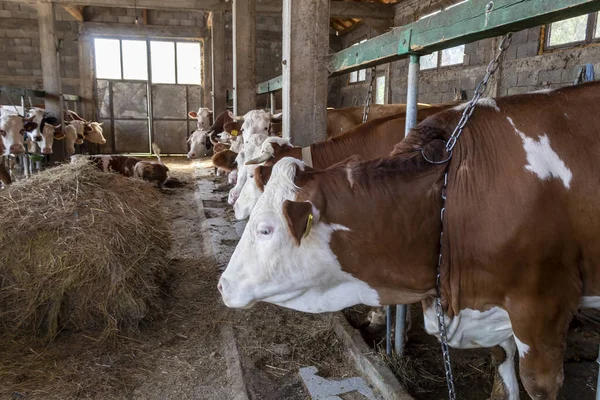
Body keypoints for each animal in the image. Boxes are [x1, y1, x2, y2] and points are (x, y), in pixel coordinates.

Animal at [218, 83, 600, 398]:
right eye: (238, 152)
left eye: (265, 229)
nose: (233, 202)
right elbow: (501, 357)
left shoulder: (541, 304)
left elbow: (537, 382)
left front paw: (381, 323)